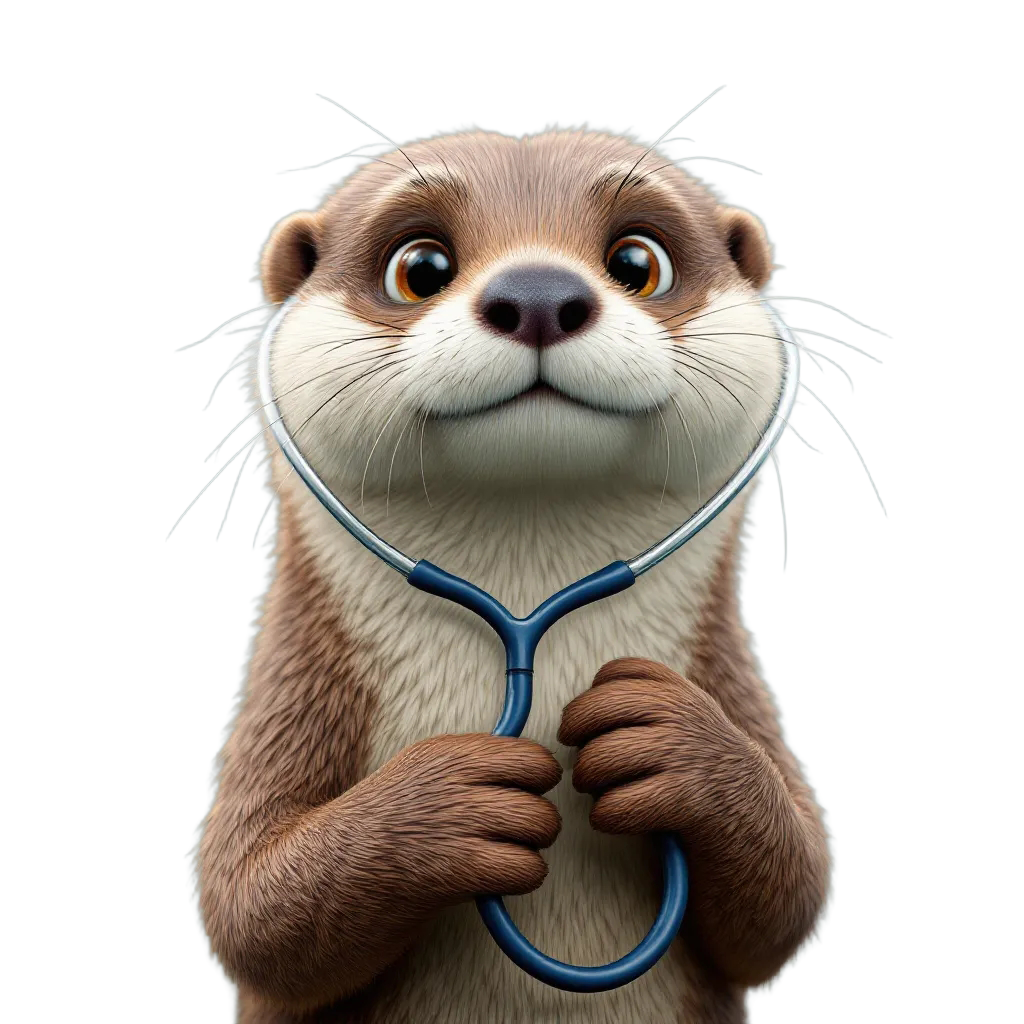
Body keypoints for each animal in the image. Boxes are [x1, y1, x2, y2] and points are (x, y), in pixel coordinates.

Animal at [197, 127, 832, 1024]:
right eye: (420, 266)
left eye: (638, 260)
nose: (537, 293)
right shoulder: (298, 699)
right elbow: (251, 910)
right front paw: (445, 804)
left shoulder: (731, 682)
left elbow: (788, 898)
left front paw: (677, 743)